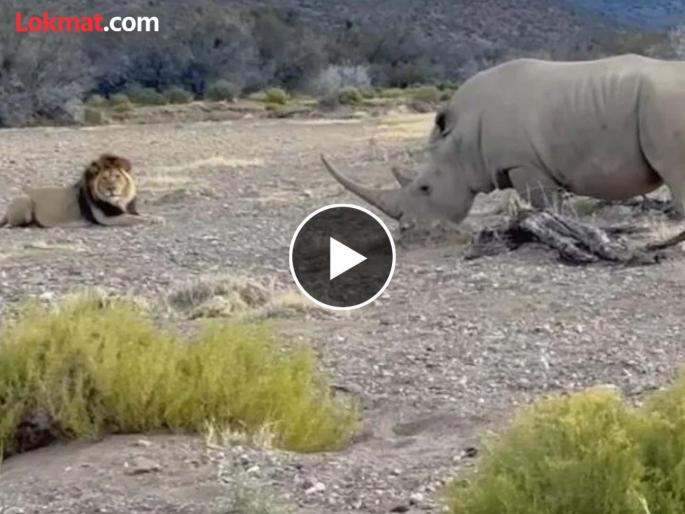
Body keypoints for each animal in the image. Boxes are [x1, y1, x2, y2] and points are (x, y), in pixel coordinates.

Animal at [0, 154, 162, 228]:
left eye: (117, 176)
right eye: (104, 178)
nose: (111, 189)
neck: (119, 200)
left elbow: (138, 215)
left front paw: (156, 217)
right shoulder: (106, 219)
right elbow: (134, 218)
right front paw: (151, 220)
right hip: (24, 200)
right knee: (13, 224)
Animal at [321, 54, 685, 224]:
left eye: (424, 188)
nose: (408, 229)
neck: (461, 140)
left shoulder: (523, 163)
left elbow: (545, 204)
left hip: (663, 103)